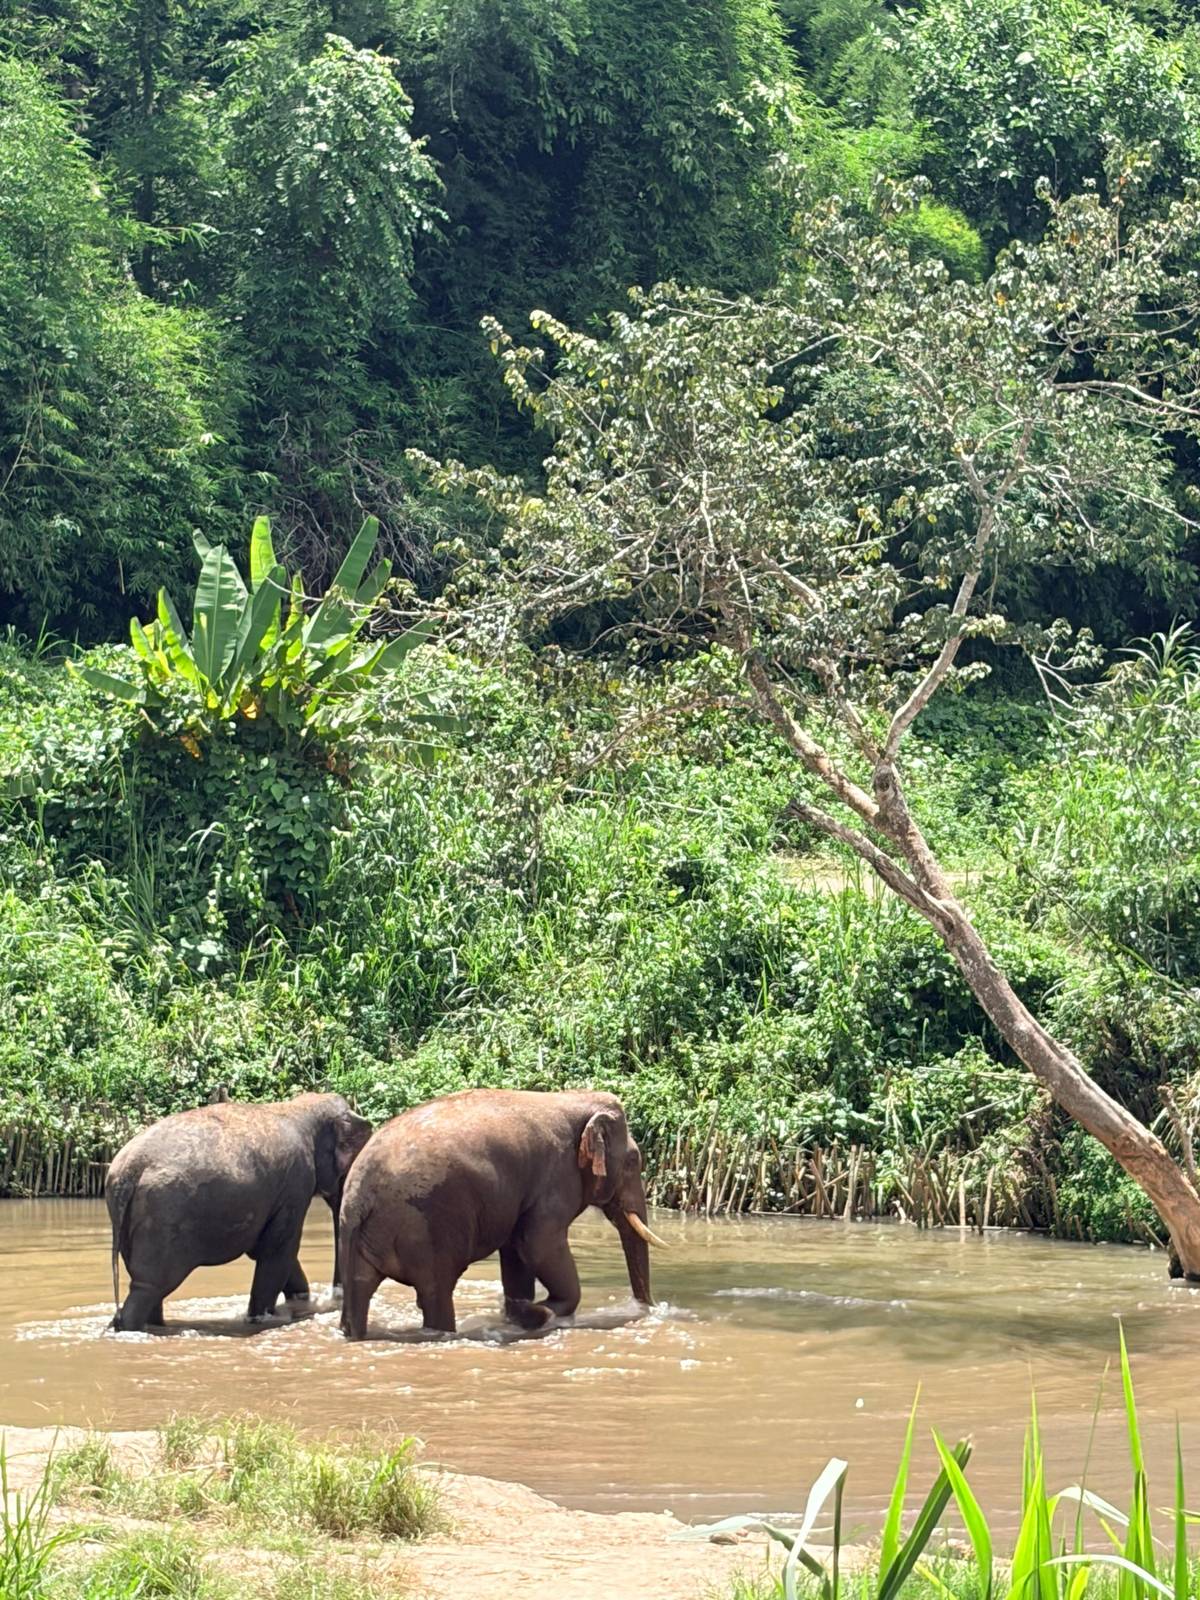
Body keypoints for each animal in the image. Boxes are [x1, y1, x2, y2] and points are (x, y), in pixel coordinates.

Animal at [106, 1092, 372, 1332]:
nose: (335, 1297)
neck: (301, 1106)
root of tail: (129, 1170)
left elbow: (271, 1250)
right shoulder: (296, 1184)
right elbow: (278, 1250)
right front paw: (260, 1318)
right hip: (163, 1219)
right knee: (151, 1285)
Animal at [338, 1087, 665, 1339]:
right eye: (633, 1161)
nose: (647, 1308)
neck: (574, 1096)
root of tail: (357, 1197)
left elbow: (516, 1251)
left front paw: (520, 1312)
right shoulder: (557, 1178)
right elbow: (538, 1244)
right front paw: (542, 1312)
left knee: (360, 1290)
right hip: (422, 1228)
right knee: (435, 1291)